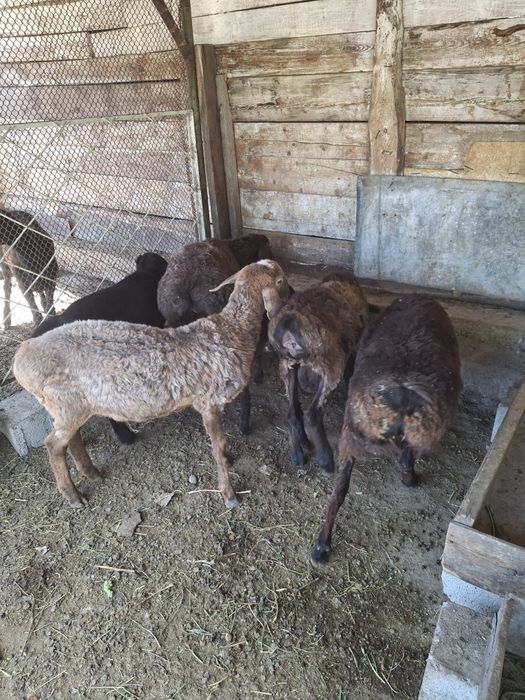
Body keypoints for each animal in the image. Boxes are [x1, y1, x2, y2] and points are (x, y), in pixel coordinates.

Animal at [268, 272, 369, 474]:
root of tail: (288, 327)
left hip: (287, 366)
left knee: (292, 413)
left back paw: (298, 454)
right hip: (329, 366)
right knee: (312, 415)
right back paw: (325, 460)